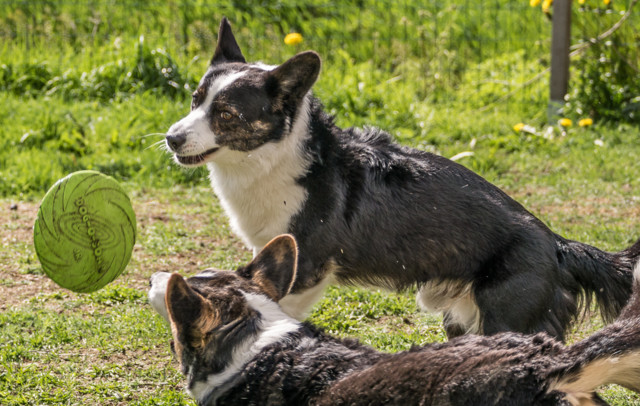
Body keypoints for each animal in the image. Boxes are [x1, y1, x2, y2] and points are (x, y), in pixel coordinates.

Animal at [165, 17, 640, 340]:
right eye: (194, 100)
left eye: (226, 115)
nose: (171, 138)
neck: (271, 159)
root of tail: (559, 245)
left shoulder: (307, 272)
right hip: (460, 319)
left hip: (506, 317)